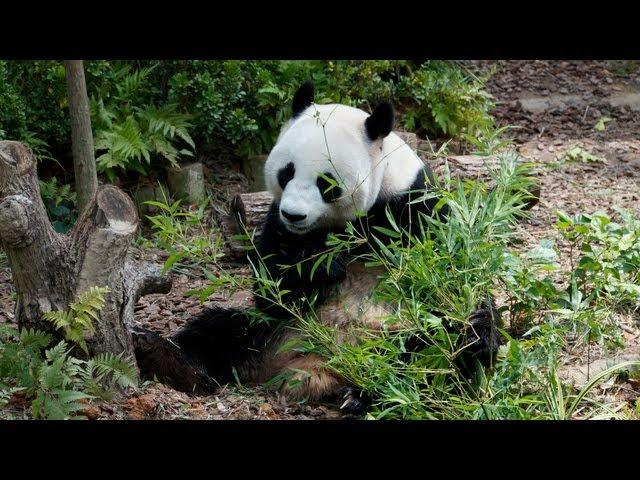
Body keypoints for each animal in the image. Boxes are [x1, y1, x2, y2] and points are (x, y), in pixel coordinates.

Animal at [132, 80, 502, 414]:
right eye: (286, 172)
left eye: (327, 182)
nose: (294, 214)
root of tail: (315, 369)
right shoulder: (277, 223)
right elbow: (271, 285)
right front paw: (319, 264)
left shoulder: (415, 206)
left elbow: (454, 277)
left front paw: (477, 325)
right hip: (275, 329)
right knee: (221, 329)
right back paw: (169, 359)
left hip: (397, 339)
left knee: (433, 355)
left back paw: (367, 394)